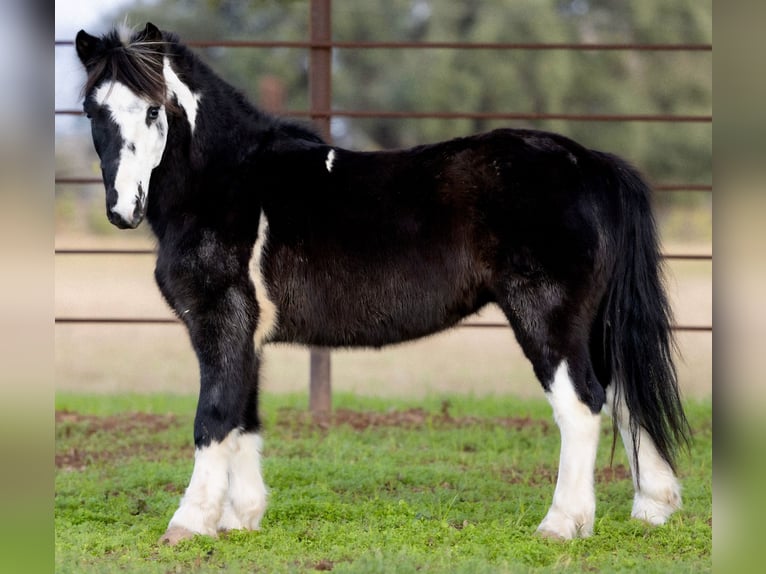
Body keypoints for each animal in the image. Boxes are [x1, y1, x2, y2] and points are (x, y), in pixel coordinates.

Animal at [75, 23, 690, 544]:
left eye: (153, 110)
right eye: (92, 109)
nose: (123, 209)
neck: (232, 184)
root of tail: (591, 162)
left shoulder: (219, 321)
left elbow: (214, 417)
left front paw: (189, 523)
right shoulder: (245, 334)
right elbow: (244, 418)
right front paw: (239, 518)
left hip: (550, 318)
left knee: (582, 405)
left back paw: (562, 524)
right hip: (595, 323)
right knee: (625, 397)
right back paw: (652, 509)